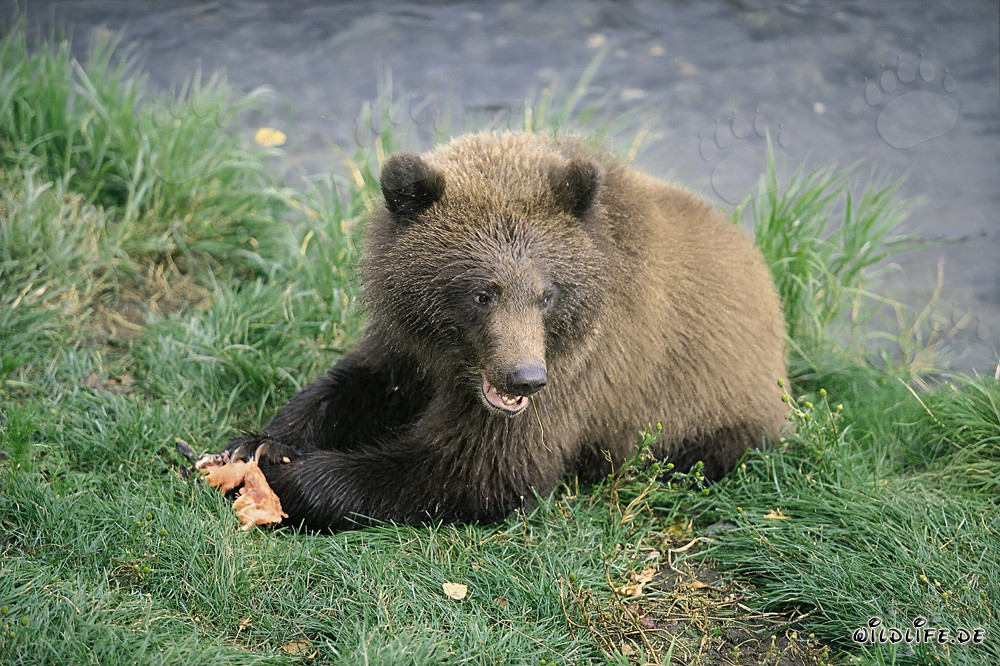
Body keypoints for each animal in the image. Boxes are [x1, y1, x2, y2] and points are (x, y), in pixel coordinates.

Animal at [221, 131, 789, 531]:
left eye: (547, 293)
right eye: (482, 293)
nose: (524, 377)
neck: (461, 363)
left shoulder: (581, 370)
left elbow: (476, 470)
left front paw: (286, 478)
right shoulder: (410, 342)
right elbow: (360, 383)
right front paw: (255, 444)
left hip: (713, 409)